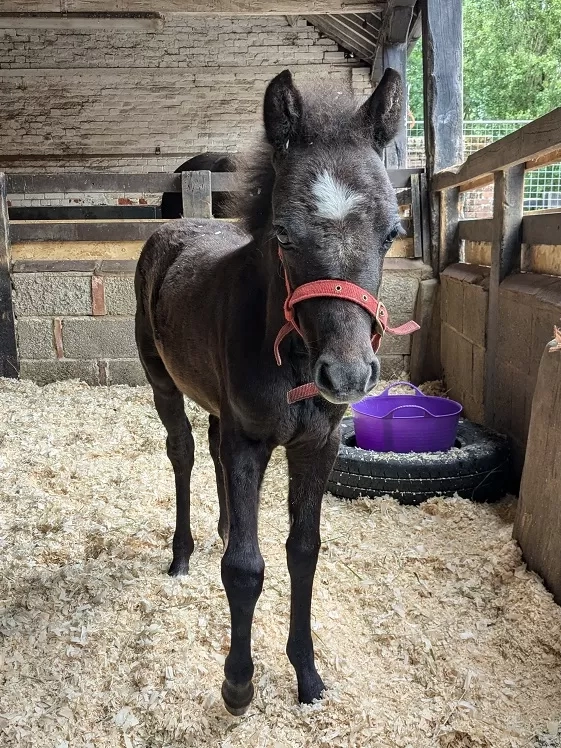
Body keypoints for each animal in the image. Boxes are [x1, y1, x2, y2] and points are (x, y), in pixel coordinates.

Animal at [135, 67, 415, 715]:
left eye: (392, 233)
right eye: (284, 235)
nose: (348, 376)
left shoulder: (318, 446)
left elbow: (302, 551)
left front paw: (307, 675)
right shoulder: (251, 441)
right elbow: (245, 567)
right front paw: (238, 685)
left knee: (211, 447)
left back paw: (220, 527)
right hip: (162, 383)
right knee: (184, 452)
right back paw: (183, 553)